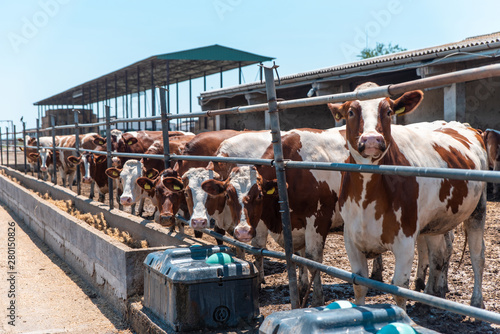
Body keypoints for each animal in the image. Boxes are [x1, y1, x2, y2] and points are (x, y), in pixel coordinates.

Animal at [326, 82, 486, 310]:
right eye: (351, 112)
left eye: (388, 111)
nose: (372, 139)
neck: (367, 195)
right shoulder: (352, 240)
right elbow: (359, 285)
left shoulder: (405, 241)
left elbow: (399, 289)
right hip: (436, 222)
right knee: (439, 254)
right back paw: (430, 295)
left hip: (478, 209)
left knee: (477, 256)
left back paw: (476, 301)